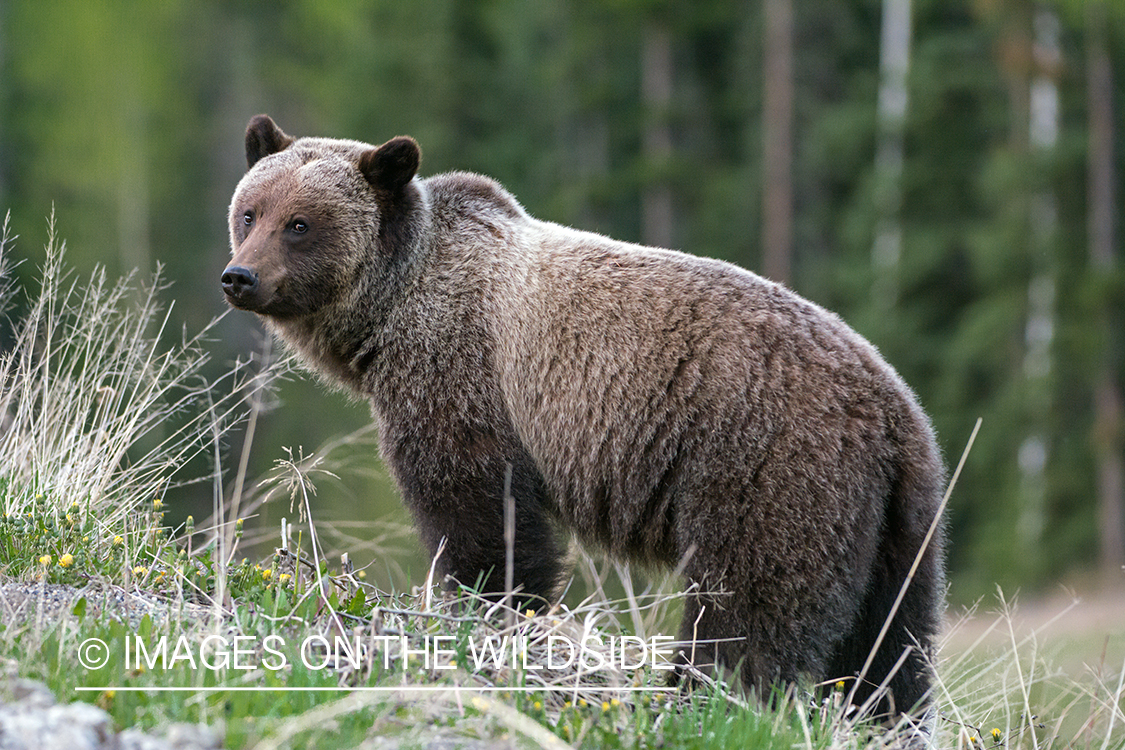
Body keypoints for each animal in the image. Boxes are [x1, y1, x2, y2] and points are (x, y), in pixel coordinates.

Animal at [222, 115, 946, 726]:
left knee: (750, 604)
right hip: (897, 525)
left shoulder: (462, 373)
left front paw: (491, 608)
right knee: (892, 640)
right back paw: (883, 716)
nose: (239, 276)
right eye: (250, 212)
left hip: (768, 465)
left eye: (300, 223)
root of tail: (894, 413)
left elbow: (479, 509)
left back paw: (698, 697)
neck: (390, 311)